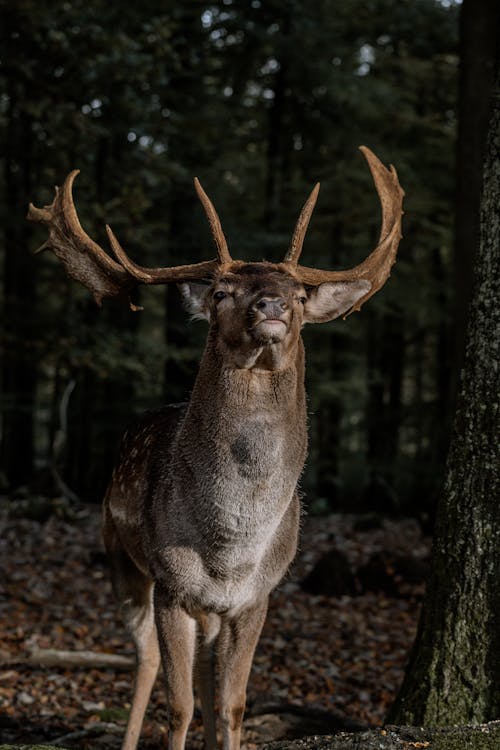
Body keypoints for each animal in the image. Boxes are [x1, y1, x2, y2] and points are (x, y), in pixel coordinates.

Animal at [26, 147, 402, 750]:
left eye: (300, 294)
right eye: (222, 292)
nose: (272, 305)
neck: (228, 549)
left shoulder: (256, 598)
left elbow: (232, 704)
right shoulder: (171, 586)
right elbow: (178, 705)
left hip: (204, 612)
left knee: (204, 679)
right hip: (120, 557)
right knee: (147, 661)